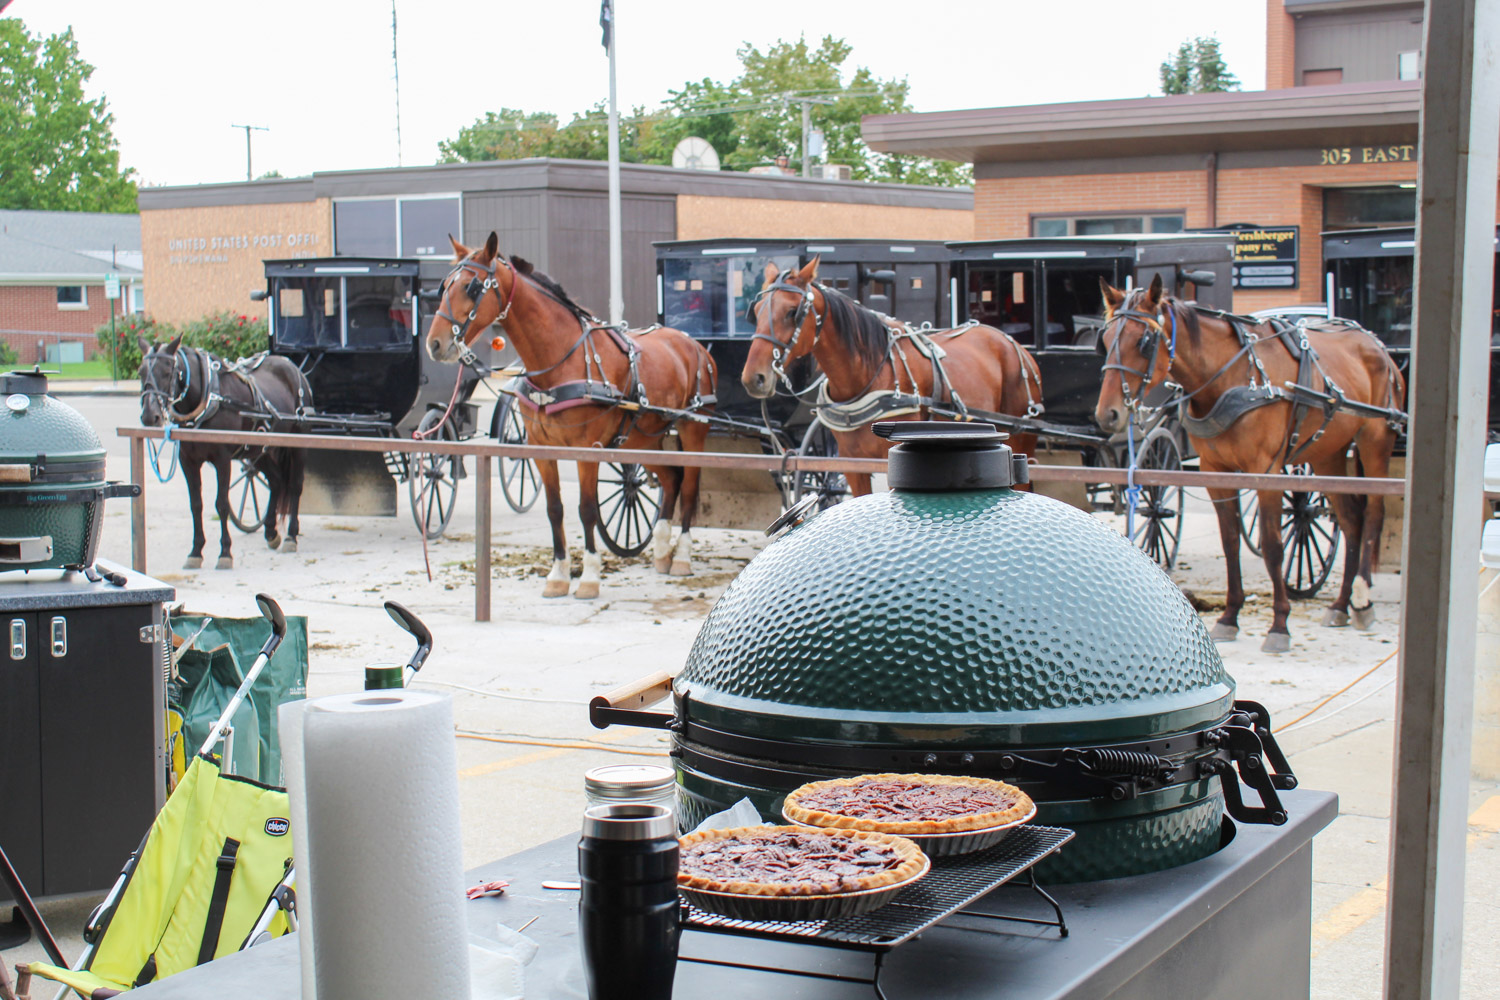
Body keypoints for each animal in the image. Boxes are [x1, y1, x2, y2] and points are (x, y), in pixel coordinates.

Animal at [426, 230, 717, 599]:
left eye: (472, 287)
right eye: (444, 286)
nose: (434, 344)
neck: (561, 360)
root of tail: (693, 344)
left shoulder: (587, 450)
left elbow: (587, 510)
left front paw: (589, 577)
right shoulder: (541, 451)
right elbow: (555, 510)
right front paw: (558, 575)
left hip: (693, 430)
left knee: (689, 486)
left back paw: (681, 557)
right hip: (640, 439)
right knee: (671, 479)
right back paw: (663, 551)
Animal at [741, 256, 1044, 494]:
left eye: (792, 312)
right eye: (755, 312)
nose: (754, 378)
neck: (866, 377)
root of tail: (1013, 344)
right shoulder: (851, 464)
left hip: (1022, 439)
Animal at [1098, 274, 1398, 653]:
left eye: (1145, 341)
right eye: (1105, 339)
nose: (1107, 415)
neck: (1234, 376)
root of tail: (1375, 342)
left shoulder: (1265, 471)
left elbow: (1272, 547)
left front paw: (1280, 624)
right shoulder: (1215, 472)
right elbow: (1230, 543)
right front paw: (1229, 616)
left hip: (1374, 442)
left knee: (1373, 512)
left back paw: (1362, 599)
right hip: (1329, 455)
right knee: (1350, 520)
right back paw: (1341, 605)